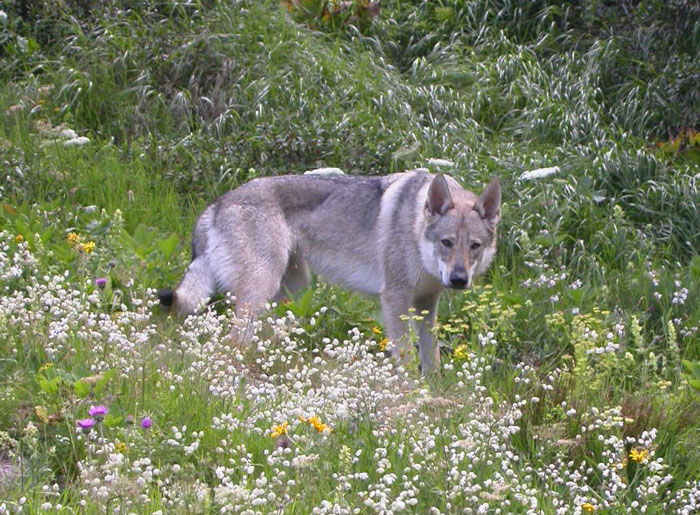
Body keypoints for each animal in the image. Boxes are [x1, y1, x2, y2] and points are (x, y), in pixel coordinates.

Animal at [160, 171, 498, 372]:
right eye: (446, 242)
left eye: (475, 246)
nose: (458, 279)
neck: (416, 227)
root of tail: (216, 205)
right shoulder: (395, 299)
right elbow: (405, 356)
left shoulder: (428, 304)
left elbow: (432, 358)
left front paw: (434, 391)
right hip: (260, 290)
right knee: (233, 341)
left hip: (294, 290)